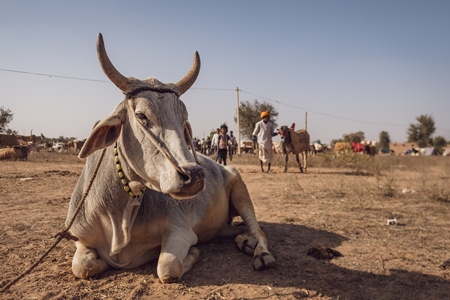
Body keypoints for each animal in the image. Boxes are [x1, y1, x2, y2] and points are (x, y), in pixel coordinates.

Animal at [66, 33, 274, 284]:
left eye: (184, 120)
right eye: (141, 116)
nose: (194, 175)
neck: (117, 216)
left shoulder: (180, 231)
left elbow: (168, 267)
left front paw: (193, 253)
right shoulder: (80, 237)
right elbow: (82, 267)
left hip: (241, 191)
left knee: (258, 230)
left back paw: (260, 253)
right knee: (236, 230)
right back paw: (244, 241)